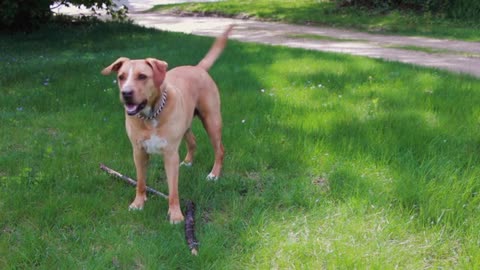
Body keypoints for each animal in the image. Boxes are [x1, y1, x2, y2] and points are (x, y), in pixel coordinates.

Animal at [102, 25, 233, 224]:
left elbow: (173, 190)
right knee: (192, 141)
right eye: (121, 77)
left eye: (142, 76)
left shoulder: (170, 154)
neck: (150, 116)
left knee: (220, 149)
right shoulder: (138, 151)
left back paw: (214, 174)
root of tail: (197, 68)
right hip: (185, 124)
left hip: (212, 120)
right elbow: (140, 181)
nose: (126, 93)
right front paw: (138, 203)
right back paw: (188, 162)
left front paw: (176, 214)